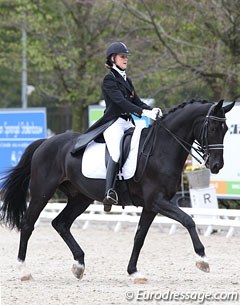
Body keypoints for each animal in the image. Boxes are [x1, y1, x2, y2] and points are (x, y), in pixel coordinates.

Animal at [0, 98, 234, 282]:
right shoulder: (158, 201)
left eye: (225, 130)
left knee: (61, 223)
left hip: (80, 198)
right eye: (213, 128)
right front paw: (202, 260)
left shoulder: (152, 205)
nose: (216, 165)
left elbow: (139, 237)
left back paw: (79, 265)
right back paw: (24, 270)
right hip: (42, 193)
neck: (161, 148)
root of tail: (45, 142)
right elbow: (188, 220)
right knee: (28, 225)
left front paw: (134, 272)